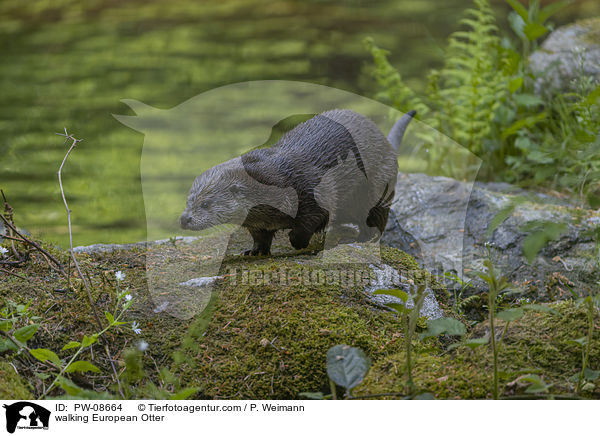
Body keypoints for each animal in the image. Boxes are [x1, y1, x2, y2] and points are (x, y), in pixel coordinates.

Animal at [178, 108, 412, 255]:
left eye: (205, 204)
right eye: (188, 201)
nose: (184, 219)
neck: (278, 182)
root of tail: (387, 144)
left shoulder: (314, 190)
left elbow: (312, 220)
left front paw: (296, 241)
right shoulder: (257, 223)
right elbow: (259, 236)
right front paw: (254, 251)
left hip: (378, 188)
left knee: (377, 219)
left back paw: (362, 239)